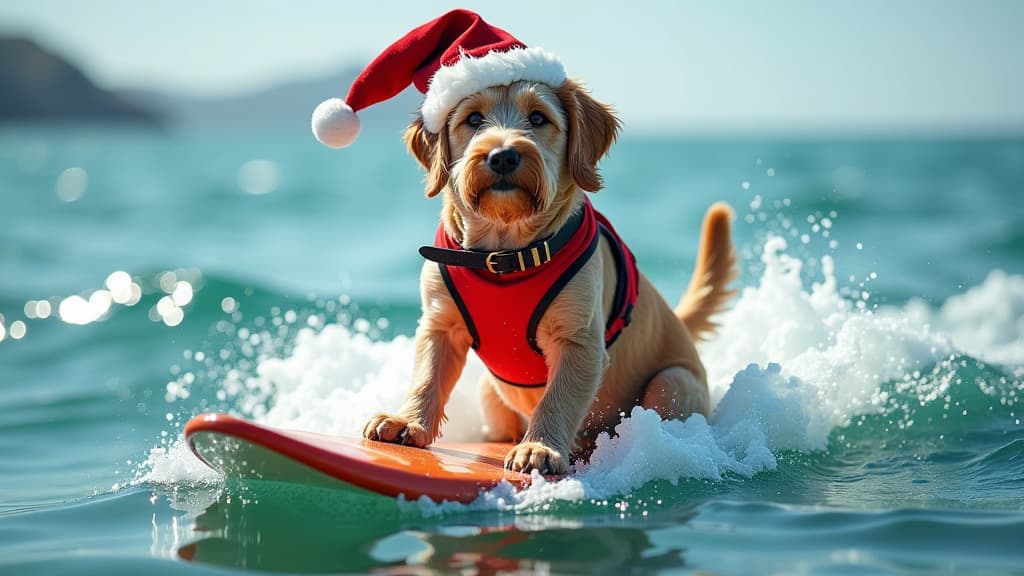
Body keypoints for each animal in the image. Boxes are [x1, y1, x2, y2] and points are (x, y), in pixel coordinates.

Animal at [360, 73, 737, 473]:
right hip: (488, 393)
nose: (503, 156)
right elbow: (427, 376)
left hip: (672, 383)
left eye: (538, 118)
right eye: (474, 119)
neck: (504, 255)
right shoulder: (439, 327)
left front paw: (539, 447)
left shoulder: (578, 343)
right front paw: (408, 421)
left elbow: (557, 398)